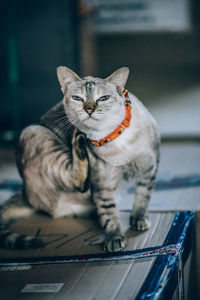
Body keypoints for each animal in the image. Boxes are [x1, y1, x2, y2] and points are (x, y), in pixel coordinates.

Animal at [0, 67, 159, 252]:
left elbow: (142, 197)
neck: (115, 141)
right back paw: (78, 140)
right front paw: (114, 238)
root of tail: (25, 191)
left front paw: (139, 220)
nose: (89, 110)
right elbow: (109, 214)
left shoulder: (149, 169)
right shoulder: (102, 184)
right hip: (36, 134)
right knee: (79, 182)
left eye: (103, 98)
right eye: (77, 98)